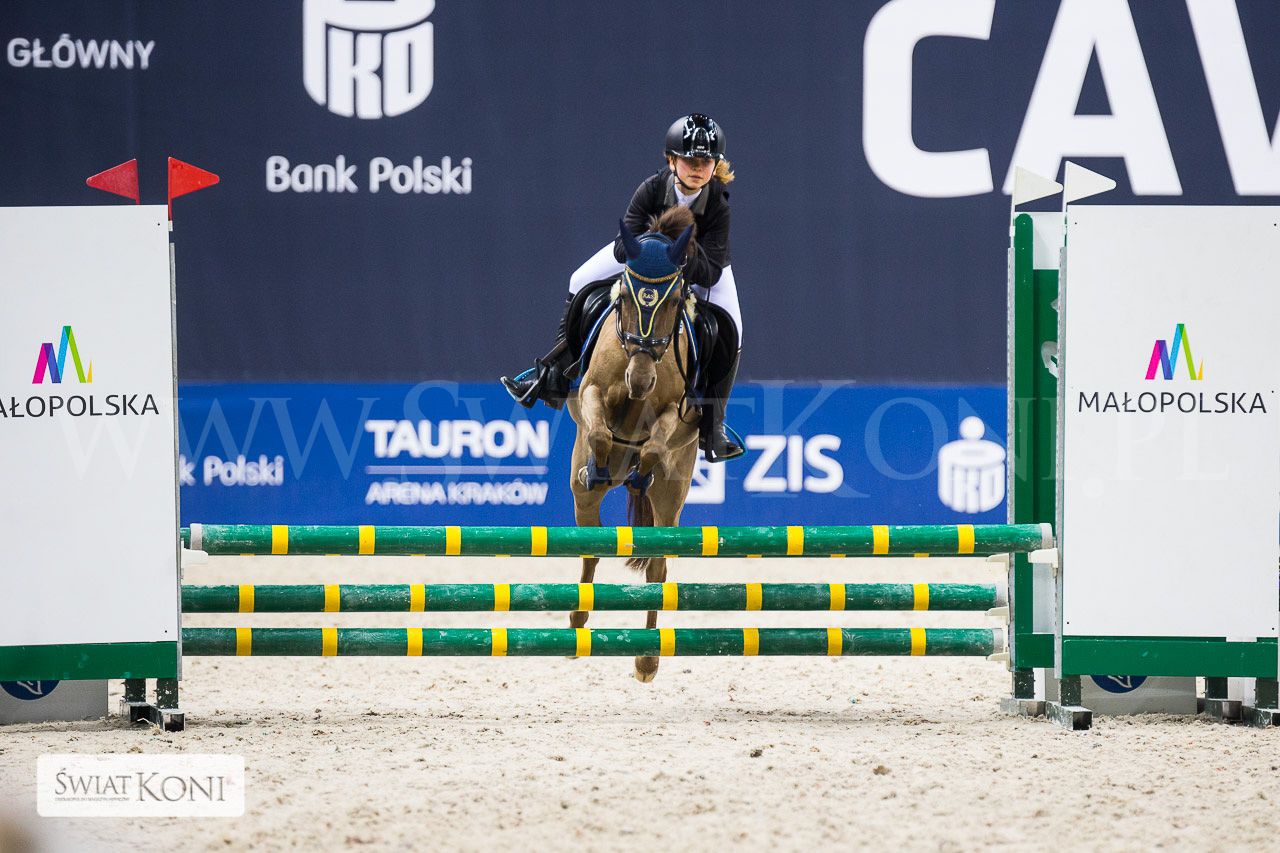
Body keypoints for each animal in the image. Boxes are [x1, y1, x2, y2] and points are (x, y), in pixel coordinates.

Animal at [566, 205, 703, 683]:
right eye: (625, 296)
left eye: (674, 302)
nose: (640, 380)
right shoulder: (589, 390)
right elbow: (599, 431)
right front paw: (600, 463)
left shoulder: (679, 413)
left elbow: (654, 446)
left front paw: (640, 467)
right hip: (581, 498)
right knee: (590, 547)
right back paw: (577, 622)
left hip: (672, 499)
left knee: (658, 566)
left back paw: (647, 659)